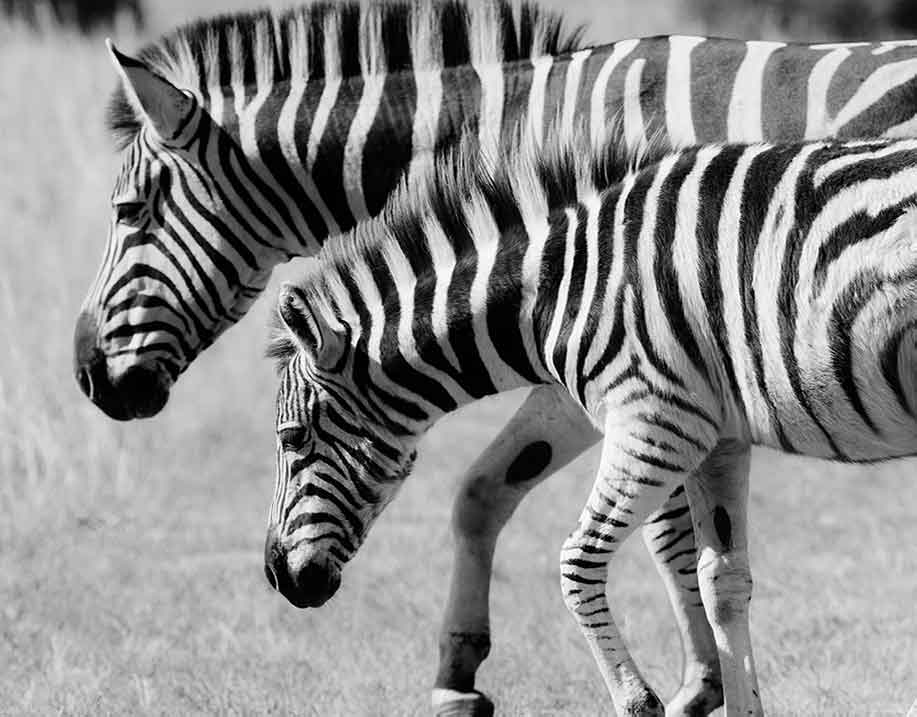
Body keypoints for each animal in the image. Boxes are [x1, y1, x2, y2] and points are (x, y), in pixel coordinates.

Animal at [265, 126, 917, 716]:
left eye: (293, 439)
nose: (277, 577)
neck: (559, 288)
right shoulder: (717, 438)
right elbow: (723, 582)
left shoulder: (653, 419)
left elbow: (576, 562)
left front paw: (637, 699)